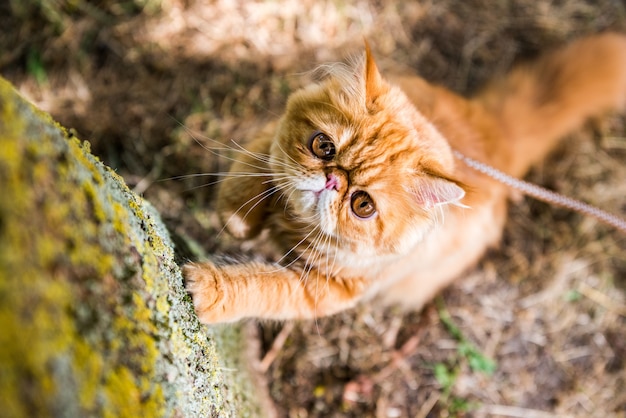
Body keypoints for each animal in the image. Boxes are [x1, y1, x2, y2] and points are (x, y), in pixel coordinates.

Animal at [184, 34, 624, 324]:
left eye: (362, 205)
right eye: (323, 147)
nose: (331, 181)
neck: (294, 222)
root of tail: (491, 133)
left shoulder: (324, 289)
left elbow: (261, 287)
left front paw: (208, 289)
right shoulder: (272, 138)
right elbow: (248, 174)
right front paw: (237, 220)